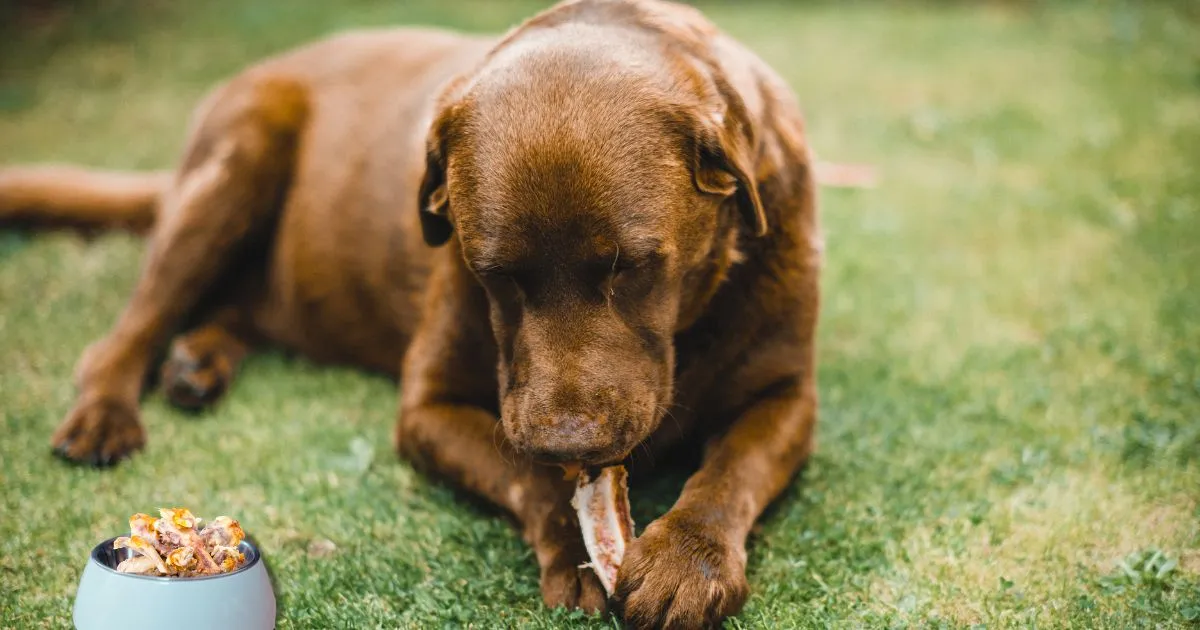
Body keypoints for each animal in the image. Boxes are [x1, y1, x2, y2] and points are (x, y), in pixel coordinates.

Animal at [0, 0, 825, 624]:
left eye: (634, 266)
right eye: (495, 275)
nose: (568, 443)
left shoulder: (788, 396)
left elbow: (732, 471)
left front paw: (688, 560)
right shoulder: (427, 407)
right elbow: (523, 474)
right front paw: (576, 547)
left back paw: (196, 364)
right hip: (236, 161)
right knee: (125, 333)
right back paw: (107, 414)